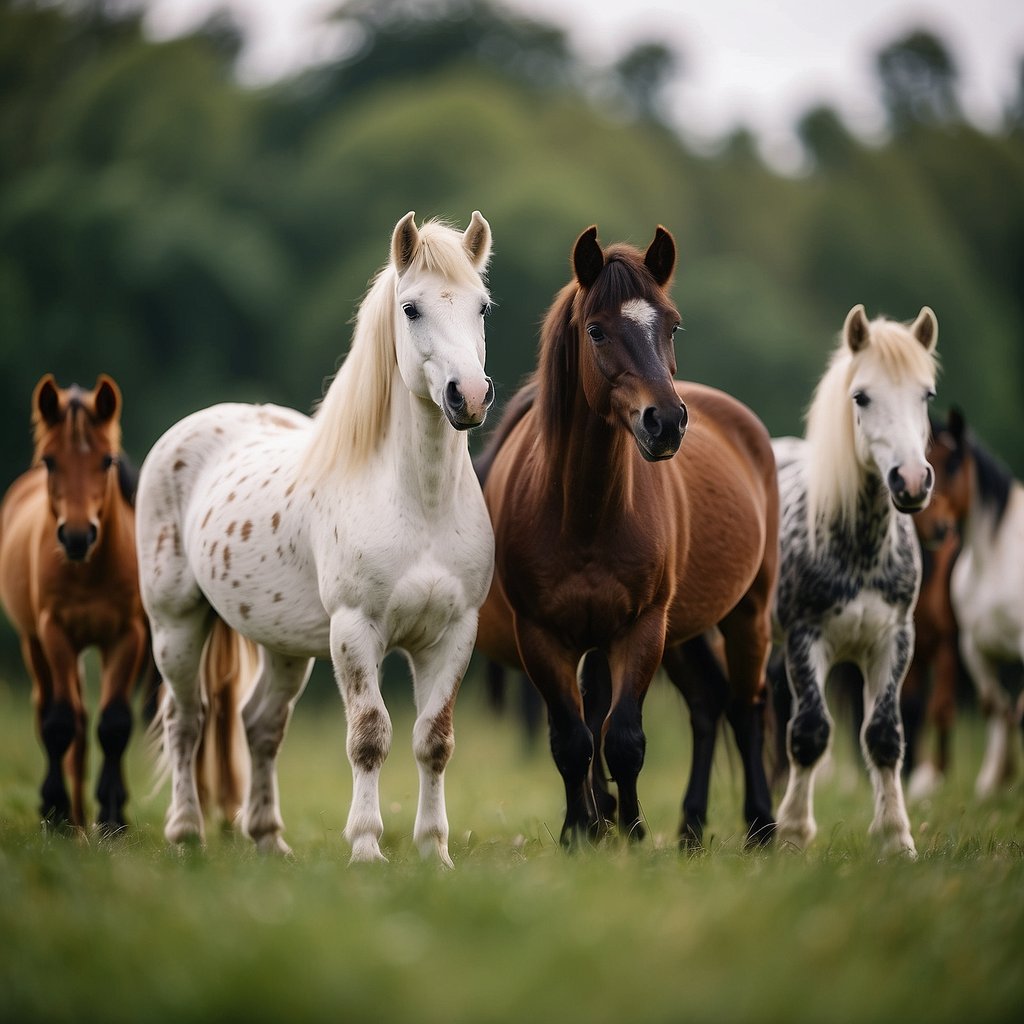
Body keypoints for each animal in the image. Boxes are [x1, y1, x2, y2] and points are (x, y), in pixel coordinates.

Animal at [0, 374, 149, 831]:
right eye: (50, 461)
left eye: (107, 461)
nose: (78, 536)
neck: (89, 570)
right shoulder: (55, 632)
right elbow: (59, 722)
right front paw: (56, 813)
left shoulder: (128, 636)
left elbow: (115, 723)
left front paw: (113, 818)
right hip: (34, 644)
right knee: (52, 712)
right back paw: (68, 815)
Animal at [135, 212, 495, 865]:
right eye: (410, 308)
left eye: (481, 306)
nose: (470, 396)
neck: (420, 506)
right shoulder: (355, 629)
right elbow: (369, 735)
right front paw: (366, 848)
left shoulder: (453, 632)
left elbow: (433, 740)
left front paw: (434, 853)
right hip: (175, 624)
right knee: (186, 721)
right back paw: (187, 834)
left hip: (282, 645)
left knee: (260, 725)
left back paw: (268, 839)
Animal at [474, 224, 779, 849]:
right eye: (596, 329)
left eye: (672, 325)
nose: (666, 422)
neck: (585, 513)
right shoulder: (544, 636)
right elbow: (573, 739)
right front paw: (581, 831)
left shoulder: (642, 628)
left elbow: (624, 739)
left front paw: (632, 832)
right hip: (683, 631)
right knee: (709, 704)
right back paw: (689, 828)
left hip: (745, 611)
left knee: (746, 707)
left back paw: (760, 826)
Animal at [773, 304, 938, 857]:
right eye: (861, 396)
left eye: (926, 395)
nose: (911, 481)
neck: (859, 550)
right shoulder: (805, 638)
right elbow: (810, 732)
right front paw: (793, 835)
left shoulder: (893, 640)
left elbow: (883, 736)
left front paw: (896, 839)